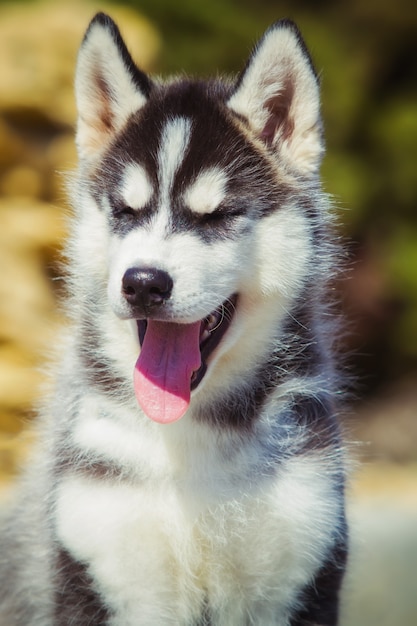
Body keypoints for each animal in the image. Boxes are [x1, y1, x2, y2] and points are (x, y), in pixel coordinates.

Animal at [0, 14, 346, 624]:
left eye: (218, 216)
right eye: (126, 212)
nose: (143, 283)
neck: (187, 441)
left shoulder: (300, 556)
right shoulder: (103, 558)